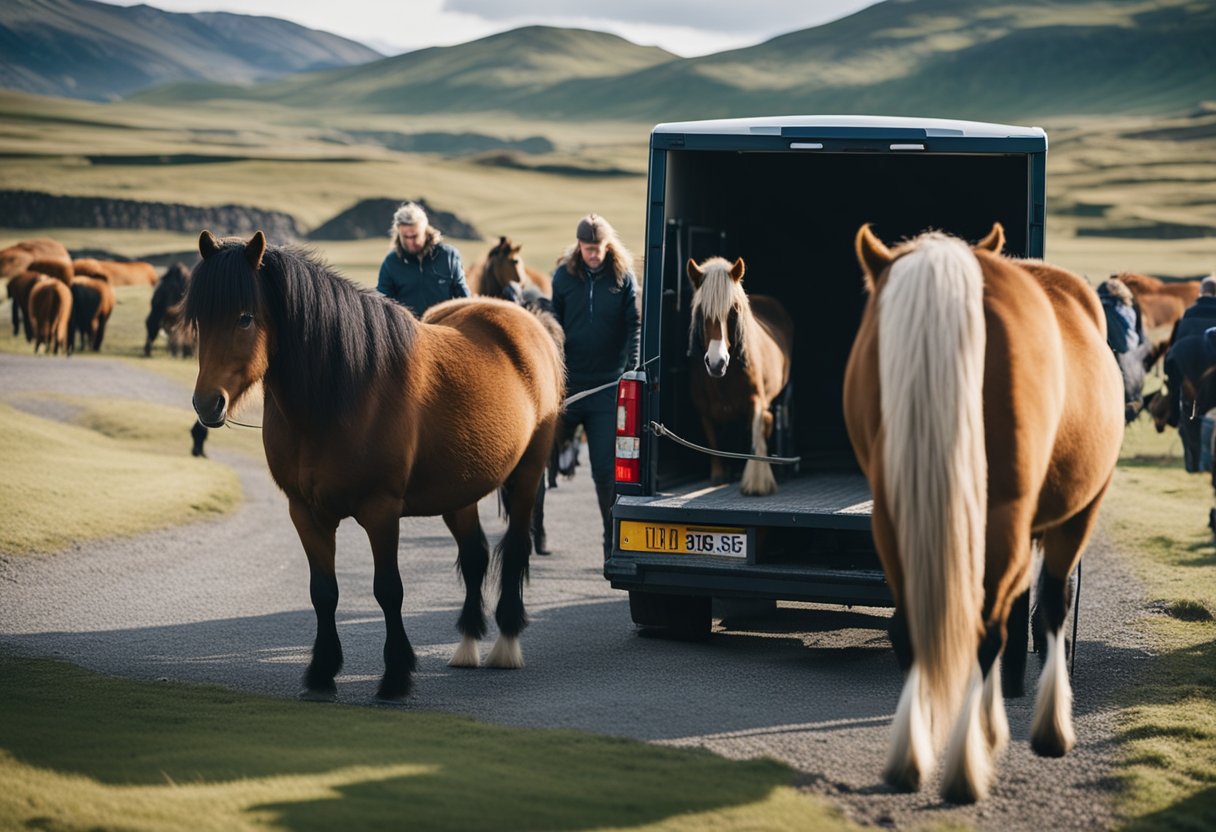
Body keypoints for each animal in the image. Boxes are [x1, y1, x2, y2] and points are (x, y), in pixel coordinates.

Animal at [184, 228, 564, 700]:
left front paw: (396, 675)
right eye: (200, 320)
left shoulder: (381, 511)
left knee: (512, 551)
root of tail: (525, 319)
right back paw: (467, 643)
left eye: (244, 318)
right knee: (475, 556)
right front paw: (322, 671)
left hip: (527, 476)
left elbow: (388, 590)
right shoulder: (305, 511)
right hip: (460, 490)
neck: (342, 392)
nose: (207, 403)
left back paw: (506, 644)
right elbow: (323, 592)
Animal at [690, 256, 792, 496]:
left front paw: (757, 481)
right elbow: (712, 440)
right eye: (701, 311)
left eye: (733, 310)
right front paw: (719, 475)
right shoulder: (704, 409)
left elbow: (757, 434)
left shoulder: (756, 401)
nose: (717, 363)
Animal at [846, 223, 1118, 802]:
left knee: (918, 629)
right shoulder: (1078, 512)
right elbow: (1048, 607)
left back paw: (918, 754)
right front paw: (1045, 728)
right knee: (998, 625)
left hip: (899, 522)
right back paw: (969, 763)